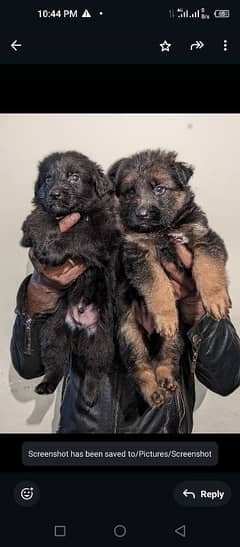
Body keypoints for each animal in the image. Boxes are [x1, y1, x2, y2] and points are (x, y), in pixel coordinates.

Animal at [21, 152, 120, 404]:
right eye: (47, 179)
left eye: (74, 177)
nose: (55, 193)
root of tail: (77, 326)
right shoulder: (39, 216)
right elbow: (39, 220)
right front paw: (42, 240)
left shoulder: (102, 234)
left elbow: (77, 235)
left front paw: (53, 250)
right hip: (51, 332)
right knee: (55, 363)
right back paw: (46, 384)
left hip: (102, 340)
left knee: (95, 368)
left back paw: (90, 394)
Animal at [109, 149, 231, 406]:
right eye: (130, 192)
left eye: (159, 189)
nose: (142, 214)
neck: (163, 230)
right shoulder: (139, 255)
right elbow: (158, 286)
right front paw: (165, 316)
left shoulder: (204, 238)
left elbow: (207, 267)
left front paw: (216, 299)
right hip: (128, 334)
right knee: (141, 366)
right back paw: (153, 391)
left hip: (176, 338)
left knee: (167, 359)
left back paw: (166, 379)